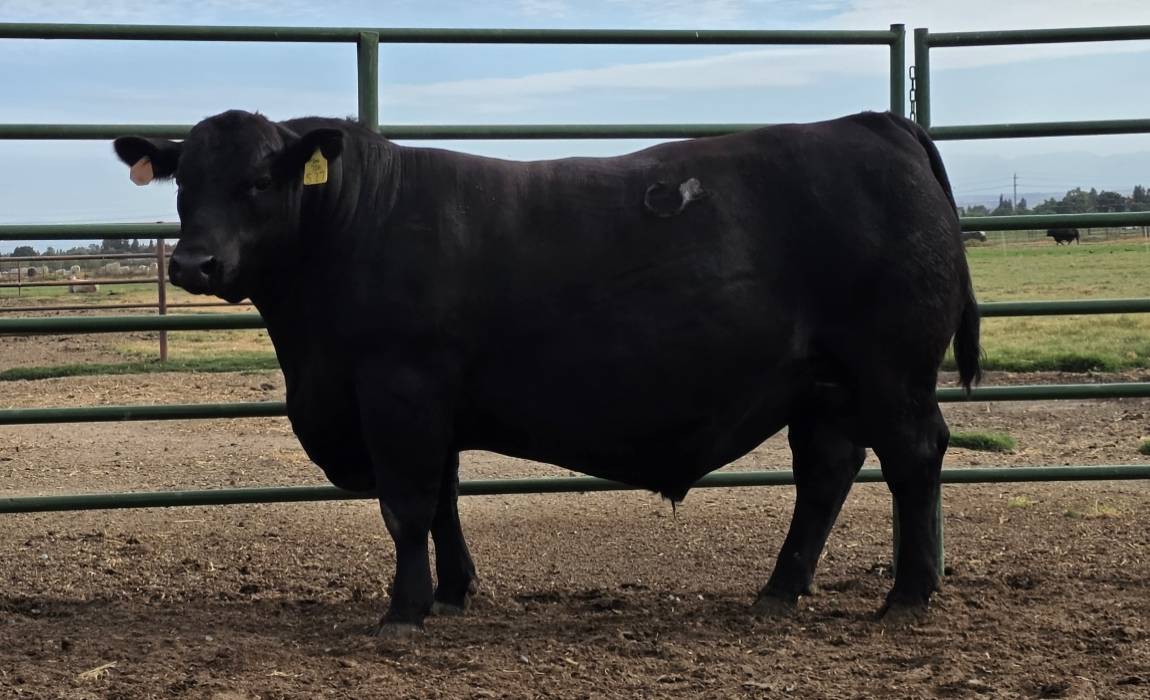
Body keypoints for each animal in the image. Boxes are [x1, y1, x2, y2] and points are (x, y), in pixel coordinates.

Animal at [114, 109, 981, 636]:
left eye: (259, 181)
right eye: (184, 182)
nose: (193, 263)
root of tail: (874, 124)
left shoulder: (399, 390)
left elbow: (406, 506)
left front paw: (405, 609)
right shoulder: (433, 405)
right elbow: (444, 502)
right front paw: (455, 592)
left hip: (892, 372)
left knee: (912, 458)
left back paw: (908, 595)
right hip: (824, 386)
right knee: (826, 472)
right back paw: (780, 589)